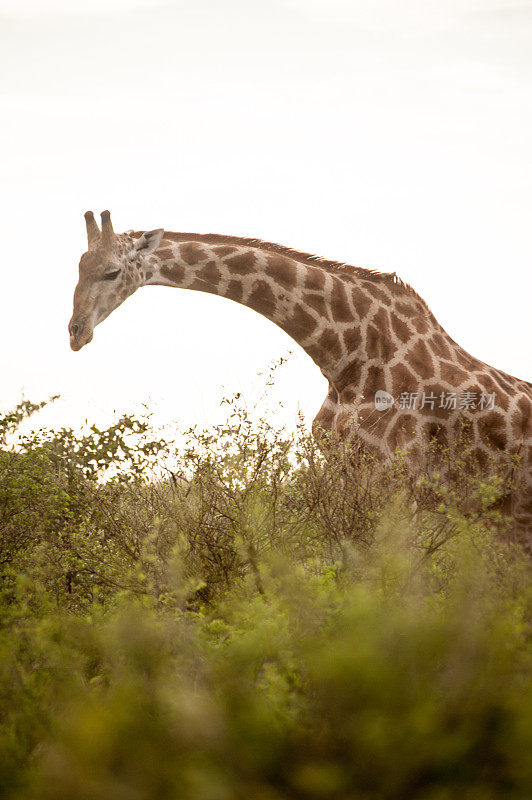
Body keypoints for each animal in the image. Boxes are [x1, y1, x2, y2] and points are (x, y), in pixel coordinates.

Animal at [69, 209, 532, 552]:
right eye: (78, 267)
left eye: (111, 272)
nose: (76, 332)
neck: (348, 355)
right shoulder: (345, 475)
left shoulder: (396, 479)